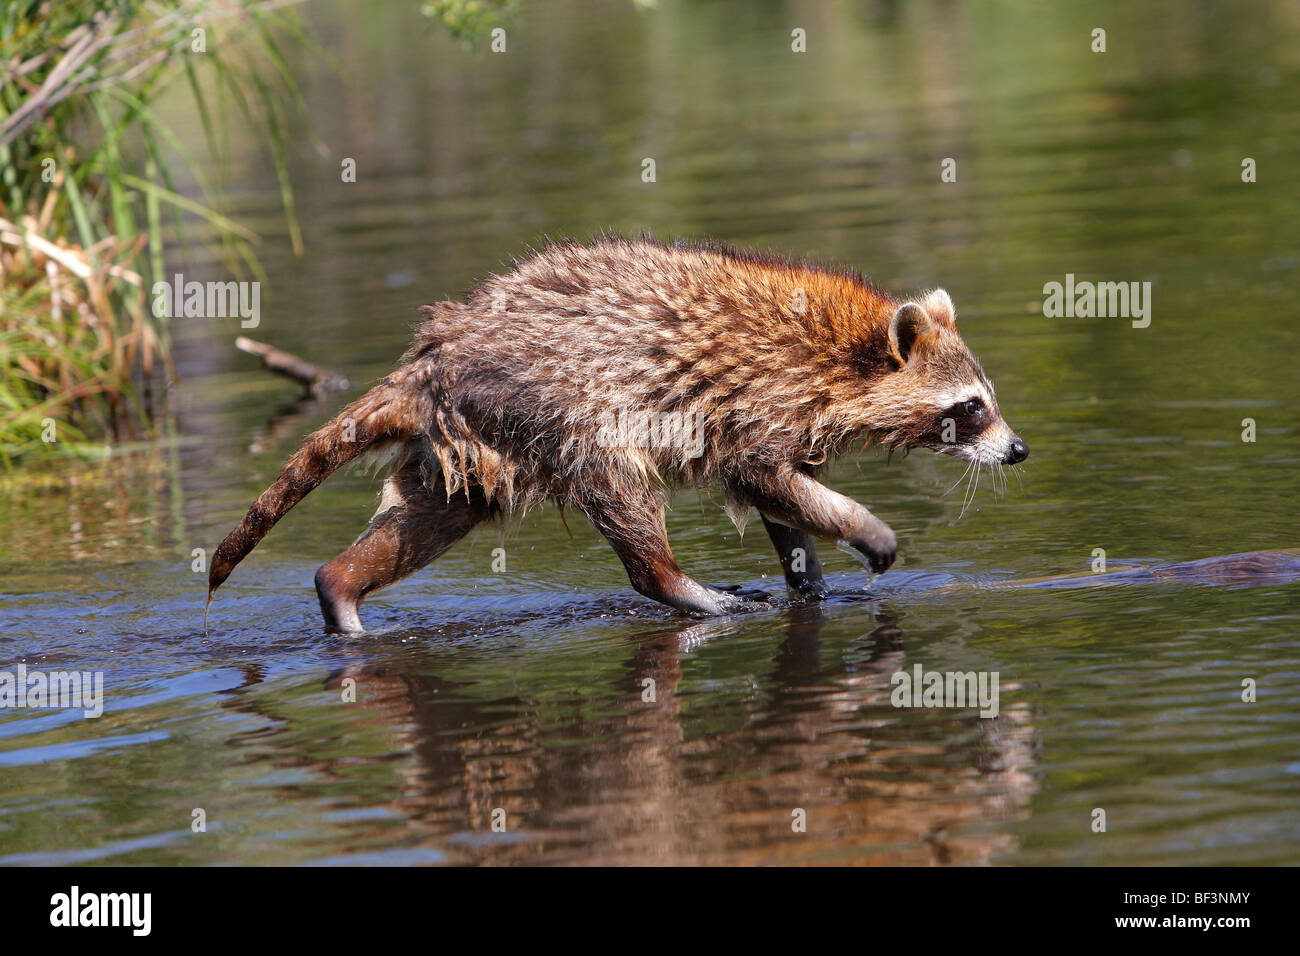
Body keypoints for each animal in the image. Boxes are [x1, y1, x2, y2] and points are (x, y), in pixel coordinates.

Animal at [210, 235, 1024, 632]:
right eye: (972, 408)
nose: (1017, 449)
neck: (848, 350)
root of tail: (436, 356)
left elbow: (778, 503)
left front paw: (809, 578)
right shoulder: (765, 397)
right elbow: (767, 478)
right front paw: (864, 528)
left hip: (472, 437)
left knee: (433, 514)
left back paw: (341, 586)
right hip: (560, 403)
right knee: (623, 491)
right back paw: (678, 585)